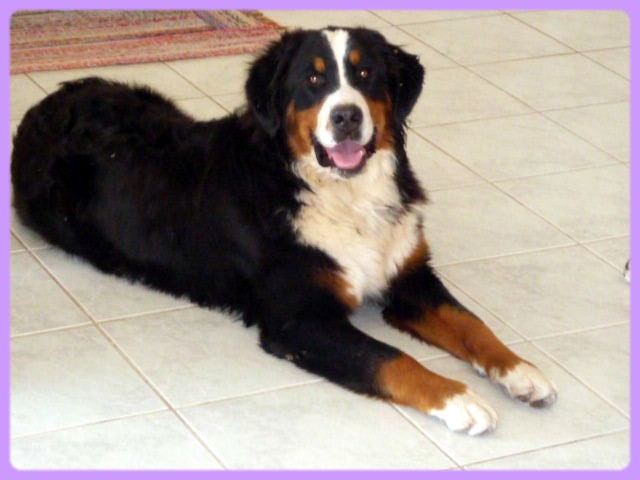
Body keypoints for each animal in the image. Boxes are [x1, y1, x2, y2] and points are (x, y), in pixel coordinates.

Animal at [11, 27, 557, 435]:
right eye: (312, 80)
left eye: (366, 73)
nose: (346, 116)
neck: (340, 193)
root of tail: (48, 102)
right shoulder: (299, 319)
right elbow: (391, 359)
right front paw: (460, 399)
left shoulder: (409, 276)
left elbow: (471, 324)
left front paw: (520, 371)